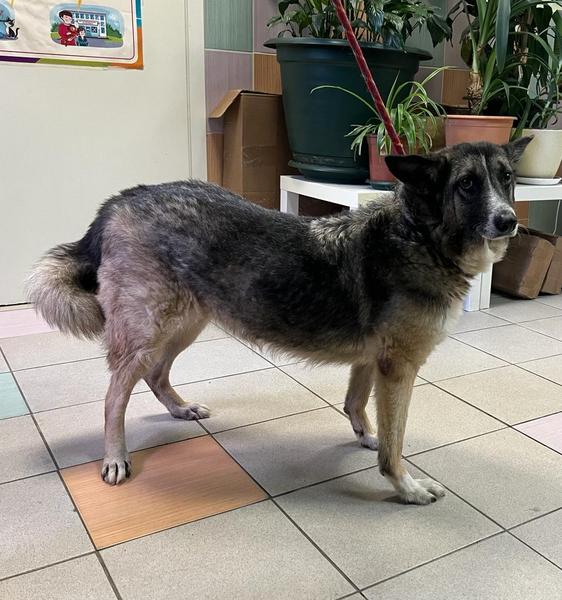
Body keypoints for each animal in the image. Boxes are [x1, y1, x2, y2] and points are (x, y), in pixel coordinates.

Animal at [28, 138, 531, 504]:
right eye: (467, 184)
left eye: (506, 179)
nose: (509, 221)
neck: (420, 233)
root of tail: (121, 200)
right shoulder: (398, 370)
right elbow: (395, 445)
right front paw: (405, 487)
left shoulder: (372, 362)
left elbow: (356, 405)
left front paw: (366, 436)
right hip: (149, 330)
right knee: (114, 397)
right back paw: (115, 456)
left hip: (186, 323)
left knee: (156, 374)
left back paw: (179, 409)